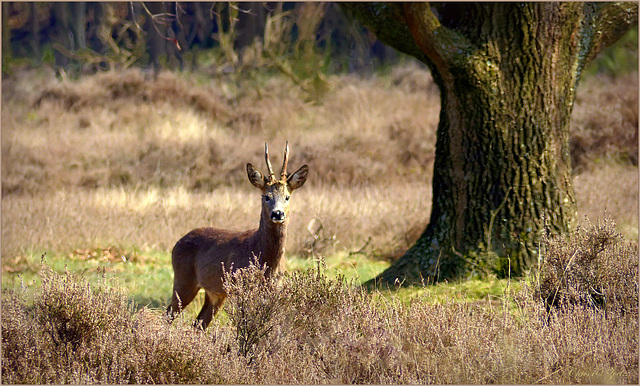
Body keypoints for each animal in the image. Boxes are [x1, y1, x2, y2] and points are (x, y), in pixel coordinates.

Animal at [166, 141, 308, 328]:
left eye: (287, 197)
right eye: (266, 196)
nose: (278, 214)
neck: (266, 260)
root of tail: (177, 243)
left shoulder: (274, 288)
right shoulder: (241, 286)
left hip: (214, 293)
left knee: (198, 323)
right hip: (183, 279)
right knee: (168, 314)